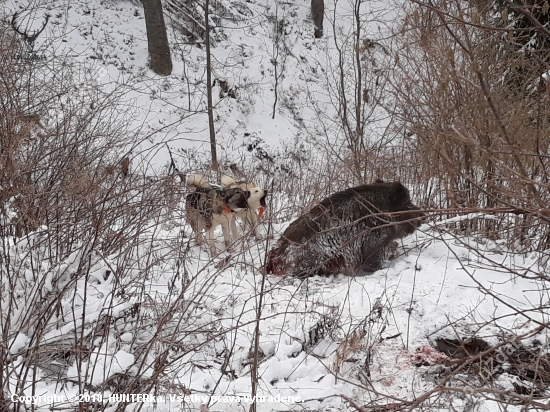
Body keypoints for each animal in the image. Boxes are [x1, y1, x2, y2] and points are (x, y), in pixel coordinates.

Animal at [268, 180, 426, 276]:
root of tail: (274, 254)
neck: (383, 213)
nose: (423, 215)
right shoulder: (374, 242)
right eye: (407, 202)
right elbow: (374, 264)